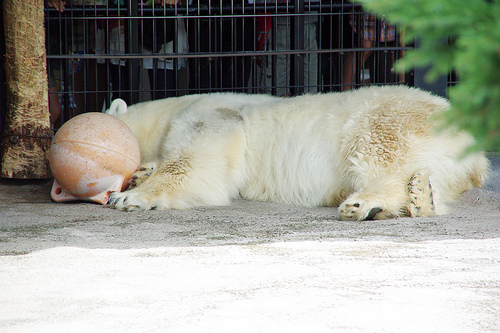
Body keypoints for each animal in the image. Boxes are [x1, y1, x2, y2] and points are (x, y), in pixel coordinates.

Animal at [104, 85, 488, 220]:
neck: (165, 115)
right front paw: (141, 173)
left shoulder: (211, 116)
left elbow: (195, 163)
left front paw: (130, 197)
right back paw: (414, 200)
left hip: (385, 118)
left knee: (379, 155)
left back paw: (365, 203)